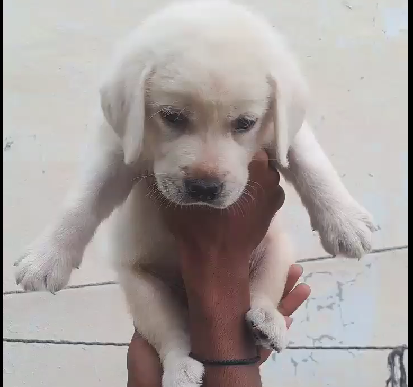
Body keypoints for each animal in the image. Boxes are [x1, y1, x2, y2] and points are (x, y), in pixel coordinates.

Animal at [15, 1, 376, 386]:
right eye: (172, 117)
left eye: (245, 123)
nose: (204, 188)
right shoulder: (115, 147)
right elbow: (83, 199)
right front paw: (47, 257)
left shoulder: (286, 132)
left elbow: (312, 164)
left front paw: (346, 222)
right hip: (143, 289)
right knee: (172, 336)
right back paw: (181, 371)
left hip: (277, 252)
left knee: (263, 291)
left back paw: (267, 324)